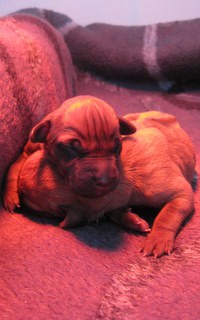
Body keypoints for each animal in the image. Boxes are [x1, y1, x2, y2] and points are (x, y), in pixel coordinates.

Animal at [3, 95, 136, 212]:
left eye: (117, 146)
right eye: (72, 148)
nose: (105, 182)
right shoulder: (25, 153)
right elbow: (13, 168)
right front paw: (10, 196)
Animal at [16, 110, 195, 258]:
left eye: (26, 195)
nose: (18, 192)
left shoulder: (177, 192)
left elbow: (168, 214)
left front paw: (157, 239)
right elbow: (114, 213)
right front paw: (132, 220)